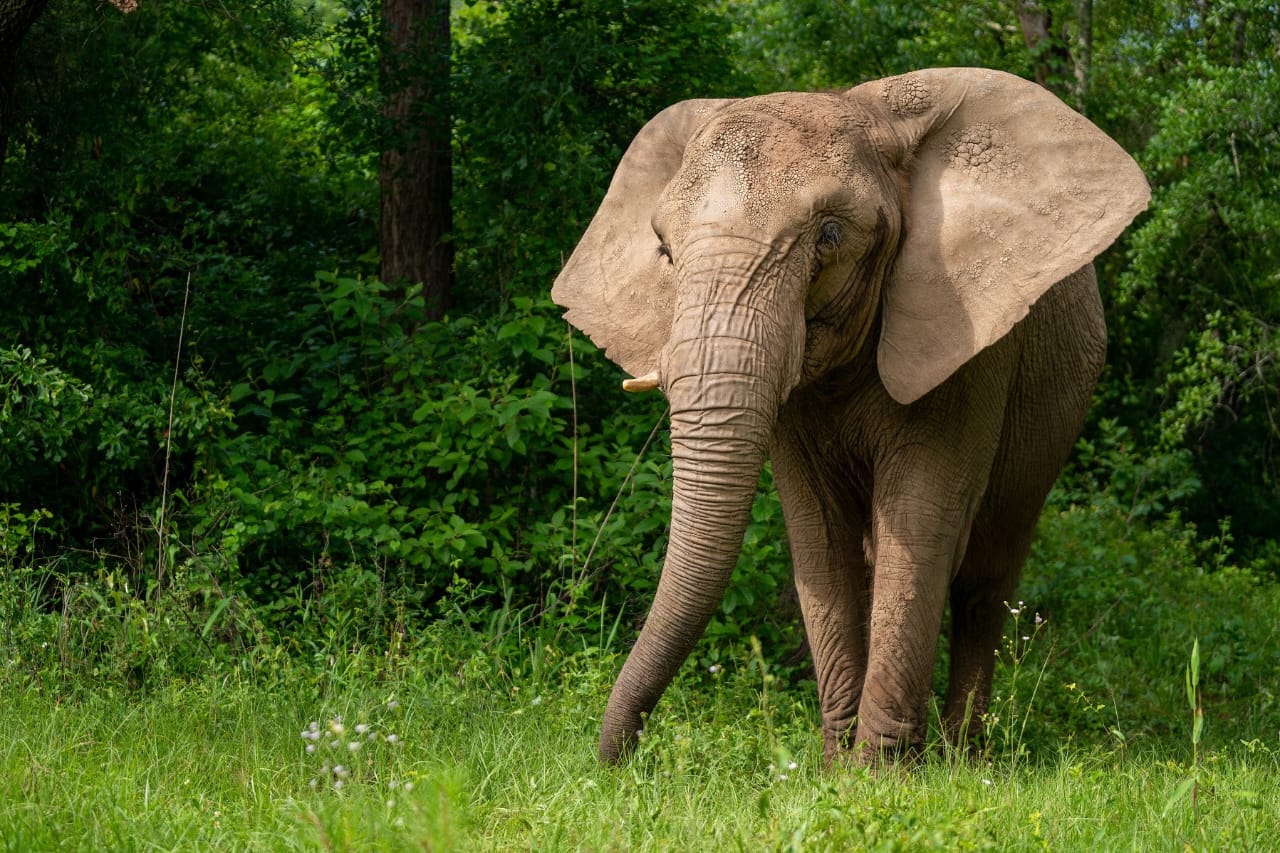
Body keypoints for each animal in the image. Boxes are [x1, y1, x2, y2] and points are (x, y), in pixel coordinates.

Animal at [550, 64, 1152, 758]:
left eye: (830, 236)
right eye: (665, 252)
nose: (619, 760)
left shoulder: (968, 342)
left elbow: (920, 517)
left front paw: (882, 772)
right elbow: (819, 531)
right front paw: (839, 768)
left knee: (986, 576)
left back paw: (964, 756)